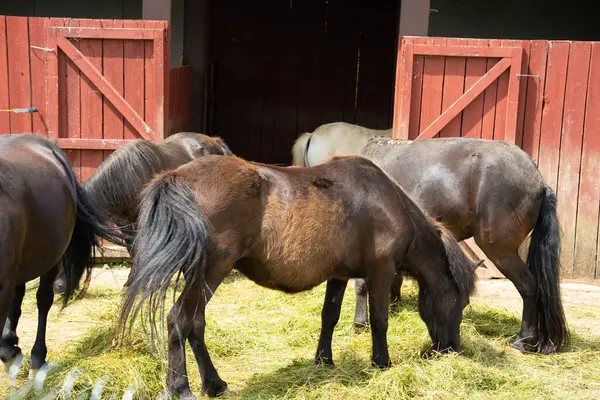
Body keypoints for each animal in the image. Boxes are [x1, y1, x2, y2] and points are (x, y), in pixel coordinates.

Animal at [52, 133, 233, 292]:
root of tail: (215, 142)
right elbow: (132, 249)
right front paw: (130, 283)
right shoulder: (123, 223)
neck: (127, 178)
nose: (58, 287)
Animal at [119, 155, 480, 398]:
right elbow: (379, 320)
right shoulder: (381, 271)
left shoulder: (339, 275)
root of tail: (178, 178)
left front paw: (323, 360)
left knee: (195, 324)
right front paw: (382, 362)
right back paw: (180, 387)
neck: (388, 202)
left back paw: (214, 383)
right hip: (210, 273)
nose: (452, 349)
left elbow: (329, 316)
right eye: (458, 302)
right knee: (180, 319)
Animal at [354, 136, 568, 354]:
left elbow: (363, 283)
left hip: (500, 251)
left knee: (529, 286)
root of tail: (539, 182)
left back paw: (522, 340)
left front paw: (360, 322)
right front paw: (394, 307)